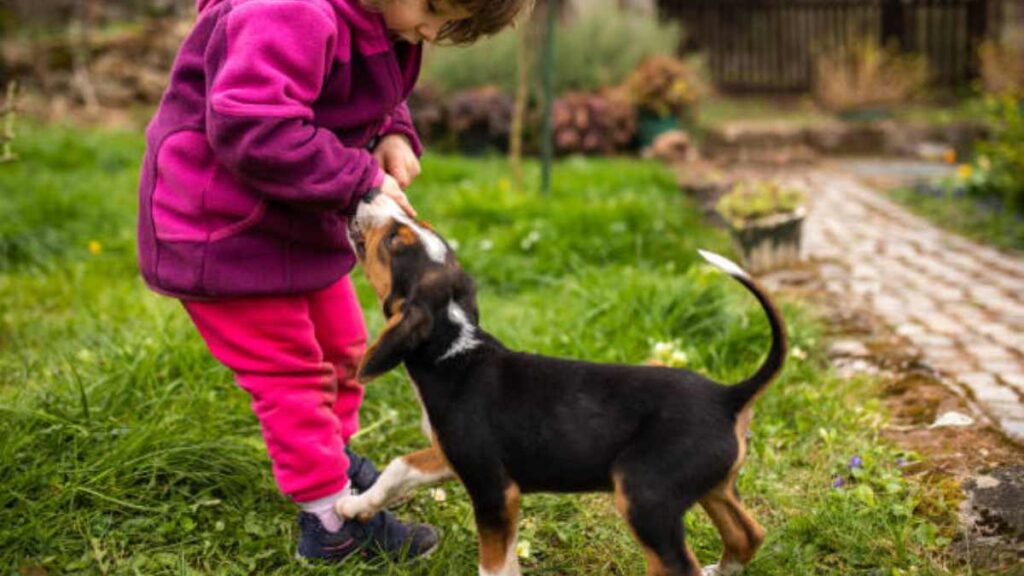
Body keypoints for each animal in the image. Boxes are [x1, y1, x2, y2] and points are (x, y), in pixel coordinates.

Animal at [339, 192, 786, 573]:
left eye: (394, 239)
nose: (366, 193)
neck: (454, 351)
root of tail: (728, 395)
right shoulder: (451, 456)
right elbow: (400, 467)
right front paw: (354, 507)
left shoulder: (493, 490)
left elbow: (493, 566)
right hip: (714, 487)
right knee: (748, 534)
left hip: (645, 497)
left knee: (678, 565)